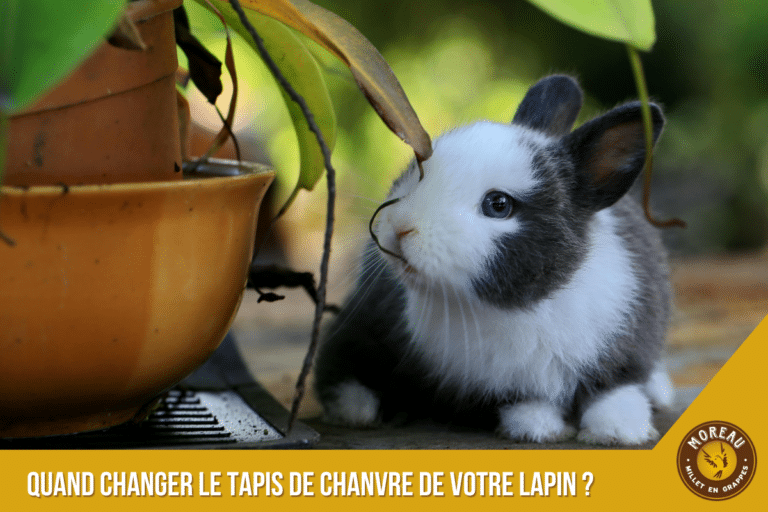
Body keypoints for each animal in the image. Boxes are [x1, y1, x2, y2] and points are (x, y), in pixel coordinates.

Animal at [314, 75, 674, 445]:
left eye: (498, 205)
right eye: (417, 169)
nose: (400, 227)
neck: (520, 307)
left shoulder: (626, 348)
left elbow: (614, 391)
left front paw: (619, 431)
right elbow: (524, 402)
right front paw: (539, 428)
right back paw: (357, 410)